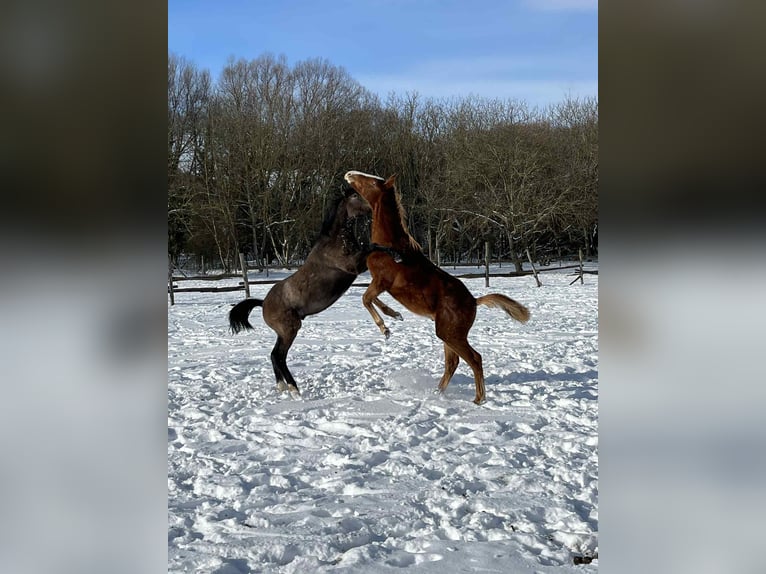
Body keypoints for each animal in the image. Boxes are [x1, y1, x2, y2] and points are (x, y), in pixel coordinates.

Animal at [228, 188, 403, 394]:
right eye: (355, 195)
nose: (377, 204)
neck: (335, 241)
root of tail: (263, 303)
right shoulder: (354, 266)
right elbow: (374, 247)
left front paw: (394, 317)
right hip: (290, 330)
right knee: (279, 356)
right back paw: (294, 389)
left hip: (283, 332)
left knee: (274, 355)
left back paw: (282, 386)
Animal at [343, 171, 530, 405]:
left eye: (371, 181)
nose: (349, 174)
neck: (391, 246)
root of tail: (474, 301)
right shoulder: (380, 284)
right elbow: (371, 299)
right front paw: (395, 315)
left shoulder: (381, 281)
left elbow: (366, 299)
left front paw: (385, 328)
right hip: (448, 334)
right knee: (453, 363)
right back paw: (437, 393)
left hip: (450, 334)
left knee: (474, 359)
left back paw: (478, 399)